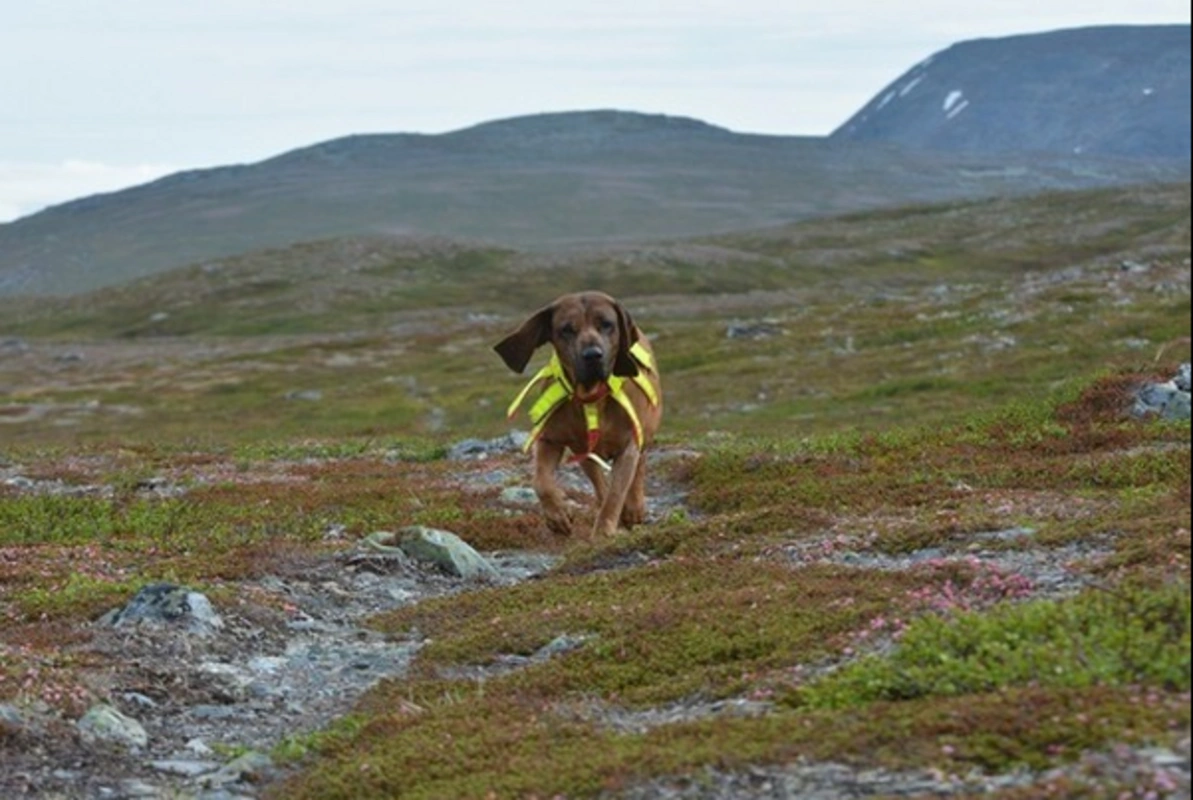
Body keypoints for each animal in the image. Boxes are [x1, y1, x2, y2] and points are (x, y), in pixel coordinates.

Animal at [493, 292, 663, 538]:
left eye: (607, 324)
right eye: (566, 329)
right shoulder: (550, 439)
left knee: (637, 469)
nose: (592, 355)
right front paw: (558, 515)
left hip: (644, 434)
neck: (591, 398)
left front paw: (603, 531)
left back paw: (633, 508)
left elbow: (616, 493)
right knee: (598, 481)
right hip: (583, 451)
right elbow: (541, 482)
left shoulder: (628, 446)